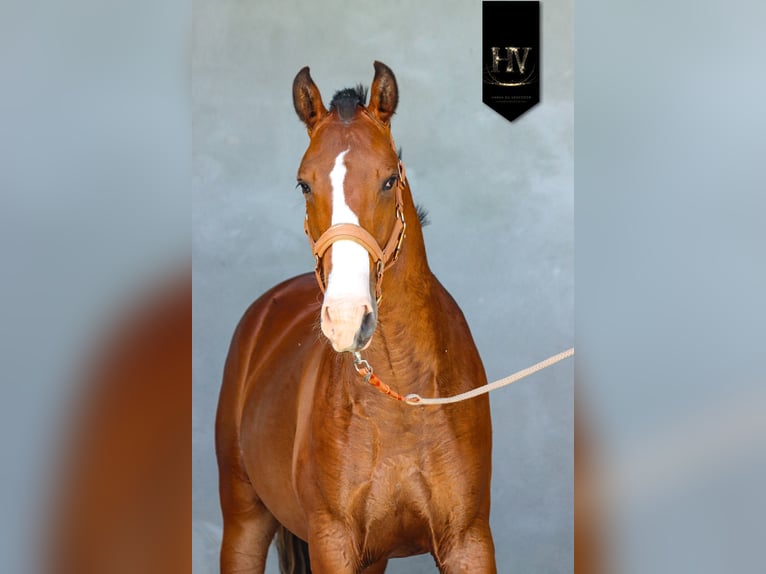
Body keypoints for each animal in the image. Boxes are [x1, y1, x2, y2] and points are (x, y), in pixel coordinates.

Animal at [216, 61, 496, 573]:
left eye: (388, 180)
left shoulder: (468, 540)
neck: (402, 395)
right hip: (245, 520)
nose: (347, 317)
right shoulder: (333, 543)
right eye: (304, 183)